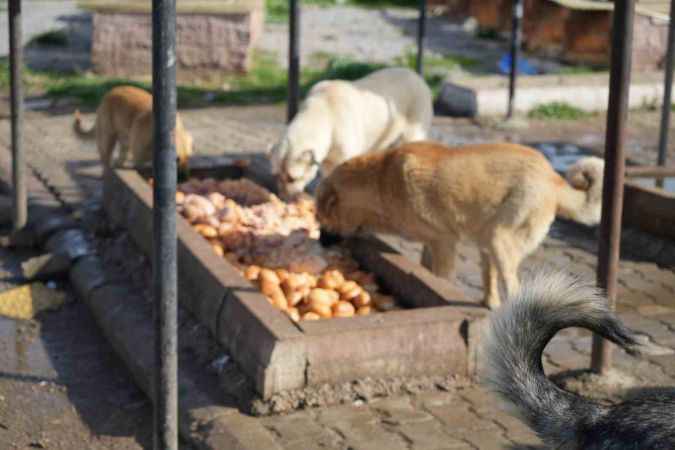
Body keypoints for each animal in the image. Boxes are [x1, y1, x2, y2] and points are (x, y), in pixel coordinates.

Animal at [266, 66, 430, 196]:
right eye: (275, 175)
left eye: (292, 178)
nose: (285, 197)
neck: (324, 110)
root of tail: (416, 75)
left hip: (415, 112)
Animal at [316, 142, 608, 310]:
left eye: (320, 220)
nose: (319, 243)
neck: (380, 180)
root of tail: (553, 177)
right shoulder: (431, 243)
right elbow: (425, 269)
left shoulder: (444, 243)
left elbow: (440, 278)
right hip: (487, 243)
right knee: (491, 284)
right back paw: (489, 304)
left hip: (500, 240)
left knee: (513, 287)